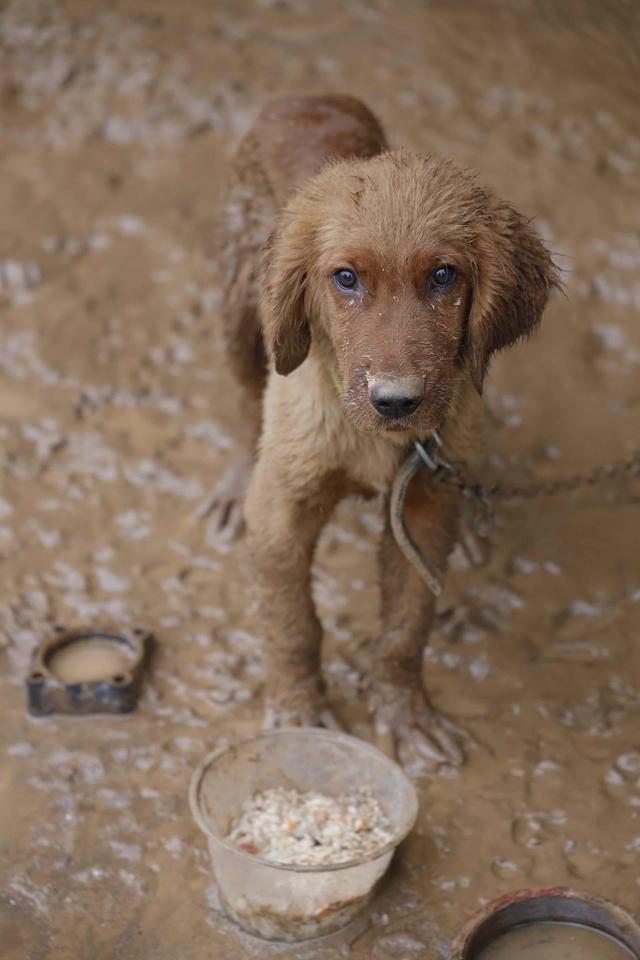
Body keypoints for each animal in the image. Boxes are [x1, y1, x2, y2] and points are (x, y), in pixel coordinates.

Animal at [215, 95, 556, 772]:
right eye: (345, 279)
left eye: (444, 276)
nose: (396, 402)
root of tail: (307, 97)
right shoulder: (284, 503)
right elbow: (291, 622)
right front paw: (297, 712)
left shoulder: (421, 498)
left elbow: (407, 624)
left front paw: (406, 715)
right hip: (243, 304)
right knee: (244, 395)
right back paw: (237, 480)